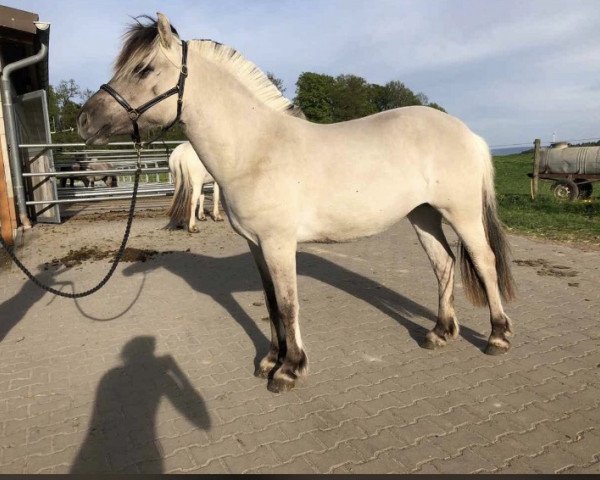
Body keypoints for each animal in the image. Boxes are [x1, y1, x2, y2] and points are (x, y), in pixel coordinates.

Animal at [76, 14, 516, 394]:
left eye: (144, 69)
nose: (84, 120)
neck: (257, 149)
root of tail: (468, 133)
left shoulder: (279, 244)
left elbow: (288, 305)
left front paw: (289, 369)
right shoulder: (256, 245)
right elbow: (271, 303)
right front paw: (271, 360)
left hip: (461, 214)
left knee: (484, 261)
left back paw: (497, 336)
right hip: (422, 215)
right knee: (444, 264)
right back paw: (440, 333)